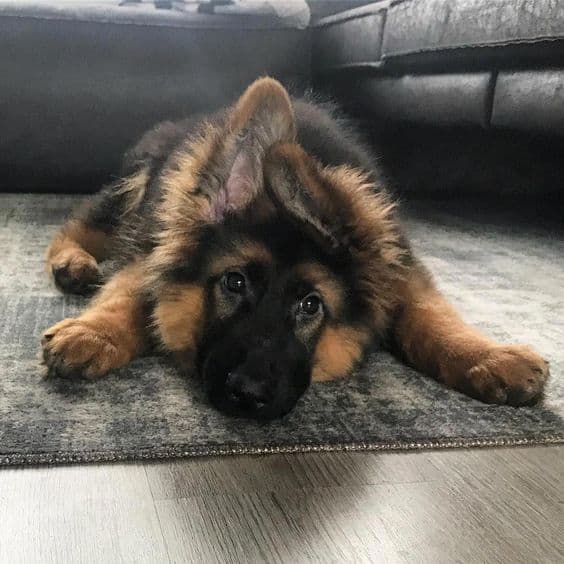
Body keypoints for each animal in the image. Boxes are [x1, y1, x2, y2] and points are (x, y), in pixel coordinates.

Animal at [40, 78, 552, 418]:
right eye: (234, 282)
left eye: (312, 305)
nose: (248, 395)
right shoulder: (153, 246)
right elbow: (127, 291)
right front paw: (93, 332)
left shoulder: (398, 267)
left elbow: (430, 316)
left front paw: (489, 357)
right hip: (135, 192)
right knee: (80, 224)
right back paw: (72, 263)